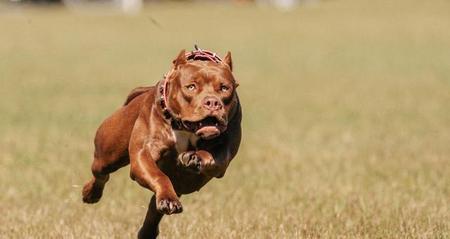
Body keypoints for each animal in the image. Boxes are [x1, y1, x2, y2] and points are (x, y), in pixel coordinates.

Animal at [81, 47, 243, 238]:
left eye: (224, 88)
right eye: (191, 87)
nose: (212, 102)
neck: (185, 127)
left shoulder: (224, 153)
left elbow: (214, 158)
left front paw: (195, 158)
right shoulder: (143, 155)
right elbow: (158, 175)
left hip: (180, 182)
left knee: (155, 205)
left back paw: (152, 225)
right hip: (108, 154)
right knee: (101, 173)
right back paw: (91, 193)